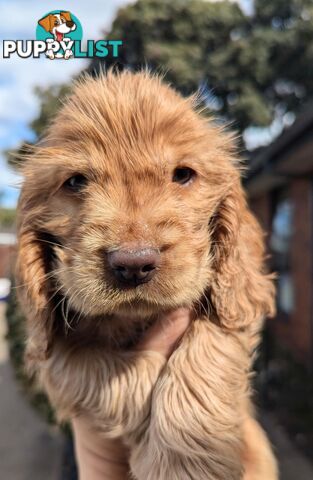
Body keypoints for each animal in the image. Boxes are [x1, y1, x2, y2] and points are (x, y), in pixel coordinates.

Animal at [15, 71, 276, 480]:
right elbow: (115, 371)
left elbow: (207, 350)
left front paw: (186, 465)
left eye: (183, 175)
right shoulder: (52, 356)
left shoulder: (235, 306)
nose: (133, 264)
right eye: (75, 182)